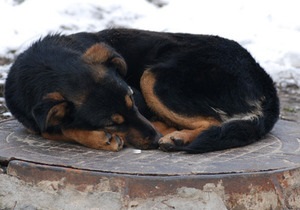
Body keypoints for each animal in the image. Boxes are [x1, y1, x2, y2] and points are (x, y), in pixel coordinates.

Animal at [4, 28, 278, 153]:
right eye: (111, 122)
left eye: (133, 102)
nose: (154, 138)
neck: (45, 66)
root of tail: (264, 79)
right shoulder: (35, 120)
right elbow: (53, 129)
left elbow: (60, 129)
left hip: (153, 77)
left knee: (213, 121)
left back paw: (177, 137)